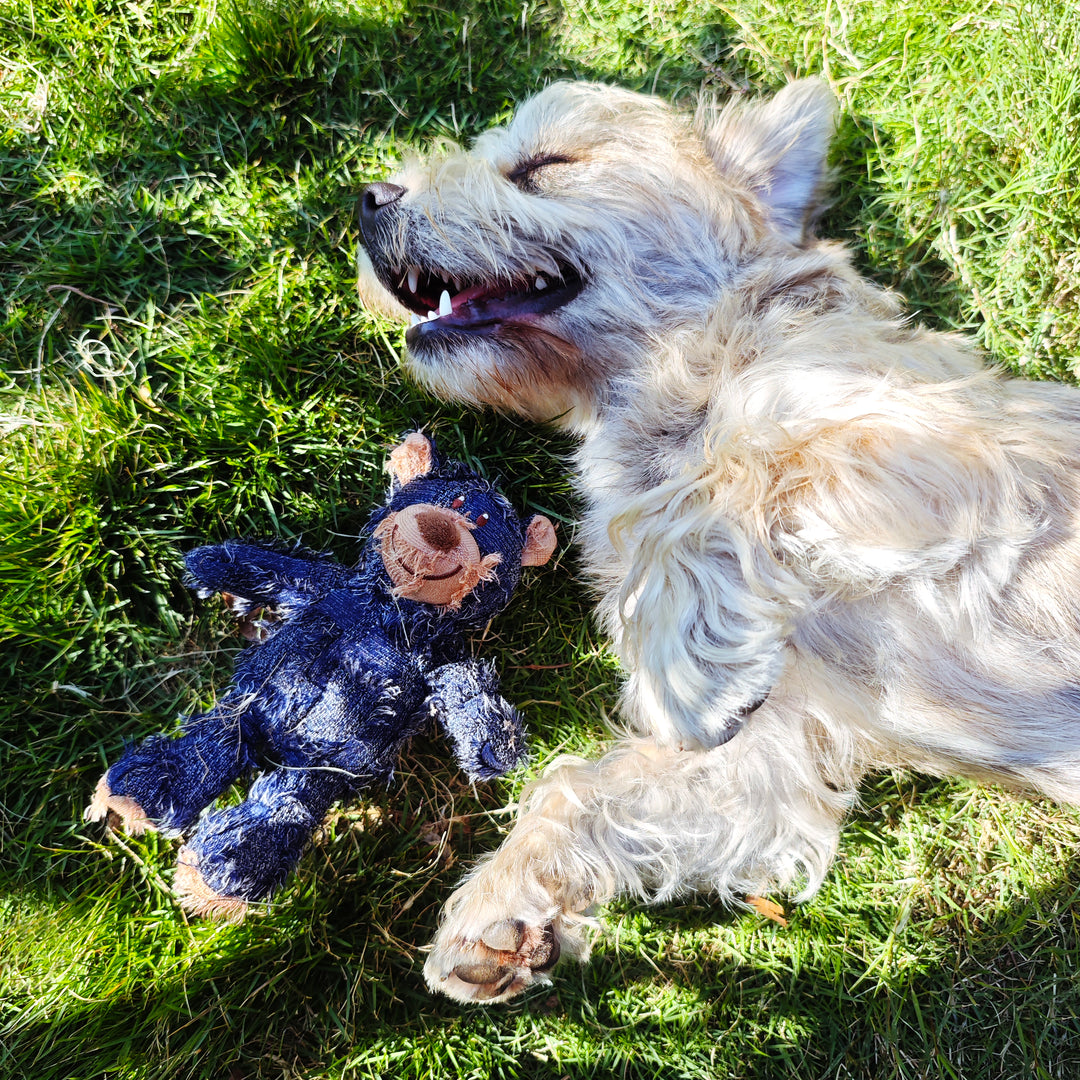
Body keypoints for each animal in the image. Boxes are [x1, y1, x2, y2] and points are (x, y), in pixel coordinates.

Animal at [358, 78, 1080, 1002]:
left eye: (543, 165)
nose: (369, 197)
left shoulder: (949, 449)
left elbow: (727, 480)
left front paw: (681, 666)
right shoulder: (781, 748)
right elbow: (579, 787)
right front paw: (504, 906)